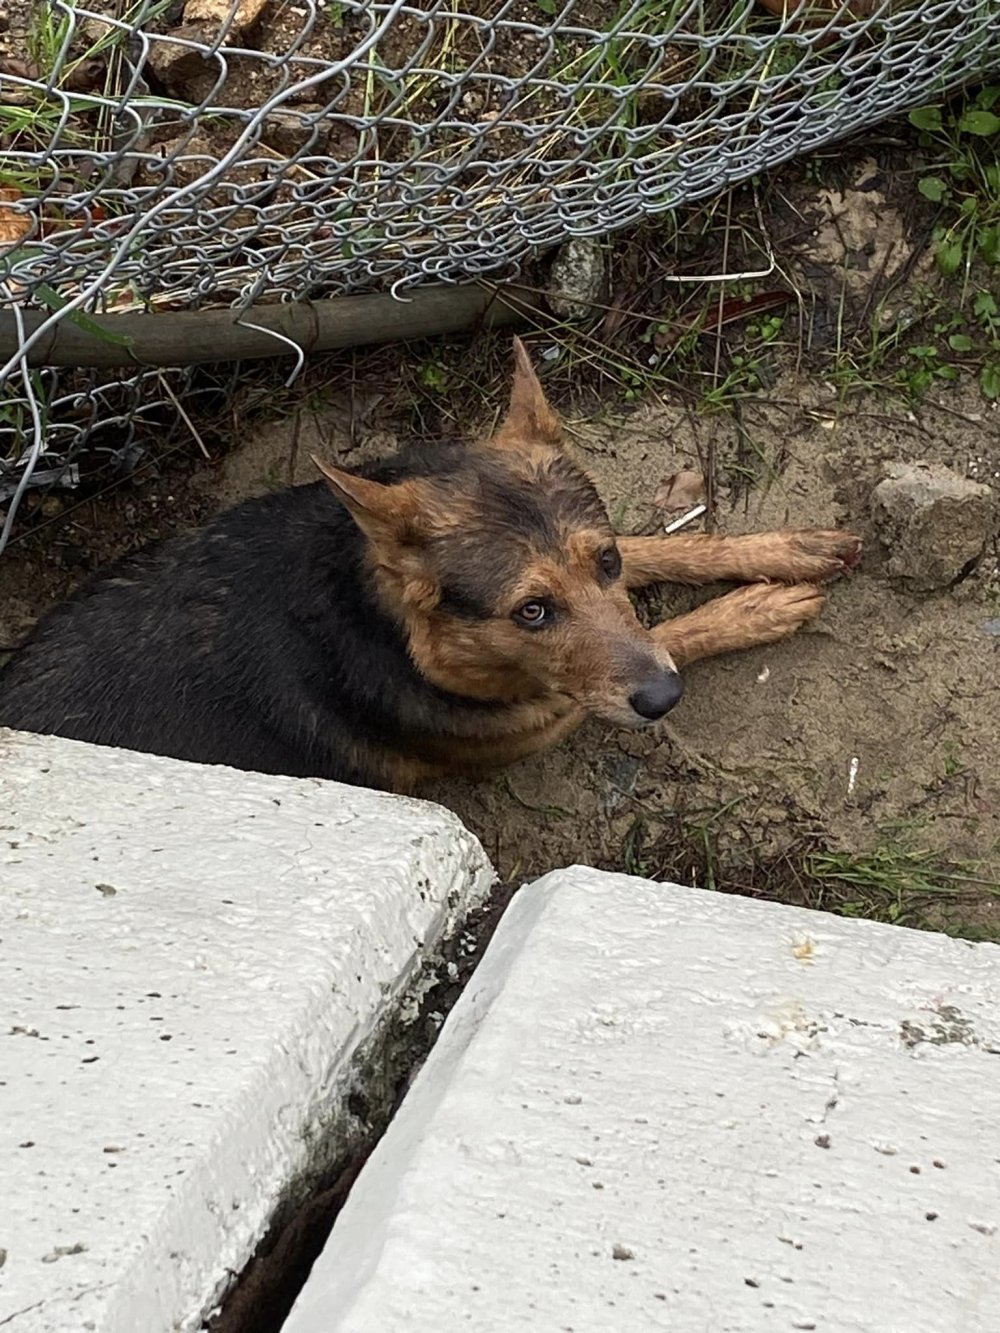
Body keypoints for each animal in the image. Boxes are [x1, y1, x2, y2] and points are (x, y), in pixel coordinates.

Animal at [0, 338, 864, 789]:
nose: (664, 700)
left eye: (606, 561)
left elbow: (664, 549)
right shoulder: (548, 713)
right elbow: (672, 633)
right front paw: (756, 606)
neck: (369, 608)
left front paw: (780, 550)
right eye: (531, 611)